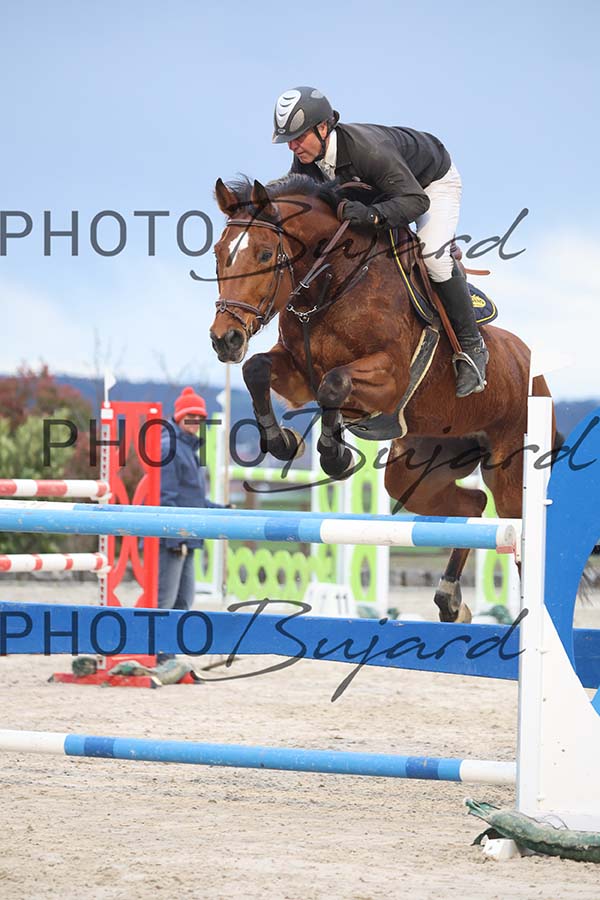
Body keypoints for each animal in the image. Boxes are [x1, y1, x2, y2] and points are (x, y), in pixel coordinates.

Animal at [208, 174, 555, 623]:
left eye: (266, 253)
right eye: (219, 255)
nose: (225, 339)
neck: (334, 284)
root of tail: (536, 372)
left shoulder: (390, 377)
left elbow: (334, 385)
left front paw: (335, 456)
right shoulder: (298, 374)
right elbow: (257, 369)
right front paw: (284, 442)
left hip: (510, 472)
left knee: (515, 530)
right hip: (416, 472)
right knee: (472, 505)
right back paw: (451, 599)